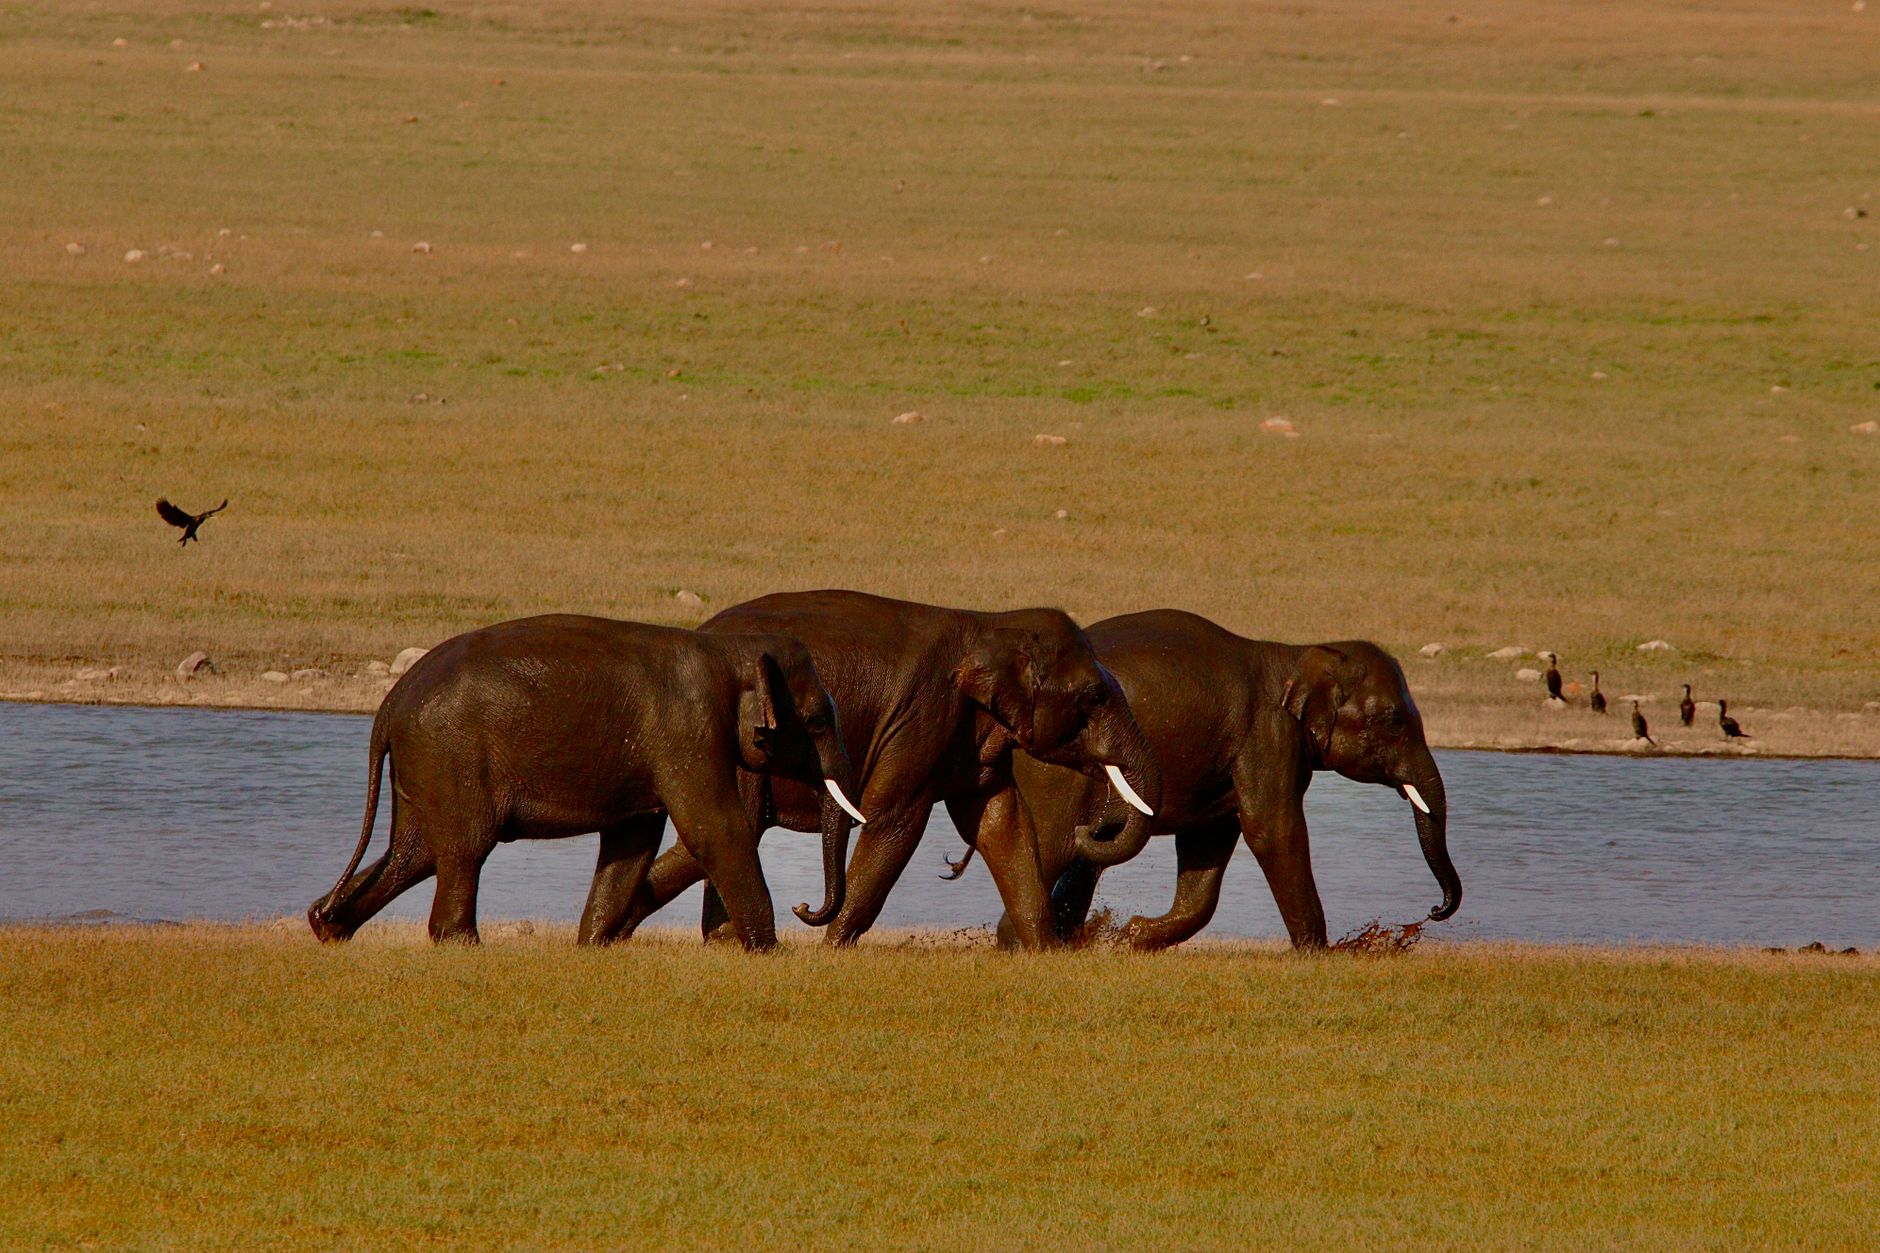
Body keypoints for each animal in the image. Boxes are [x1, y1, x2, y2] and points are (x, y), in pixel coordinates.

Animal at [306, 614, 863, 949]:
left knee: (414, 851)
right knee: (464, 848)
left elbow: (633, 840)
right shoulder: (689, 730)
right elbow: (717, 830)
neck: (729, 652)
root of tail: (388, 704)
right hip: (451, 754)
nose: (802, 905)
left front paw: (591, 946)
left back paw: (328, 926)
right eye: (818, 722)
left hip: (427, 763)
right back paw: (461, 944)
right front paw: (769, 953)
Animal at [581, 590, 1163, 950]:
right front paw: (831, 949)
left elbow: (1002, 824)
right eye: (1093, 697)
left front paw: (1044, 953)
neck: (990, 622)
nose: (802, 906)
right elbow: (895, 823)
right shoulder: (923, 717)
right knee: (732, 830)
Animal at [995, 609, 1460, 950]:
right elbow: (1272, 831)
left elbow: (1209, 844)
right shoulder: (1269, 737)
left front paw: (1133, 936)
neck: (1298, 656)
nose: (1432, 911)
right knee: (1051, 848)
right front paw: (1320, 954)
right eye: (1393, 721)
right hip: (1053, 779)